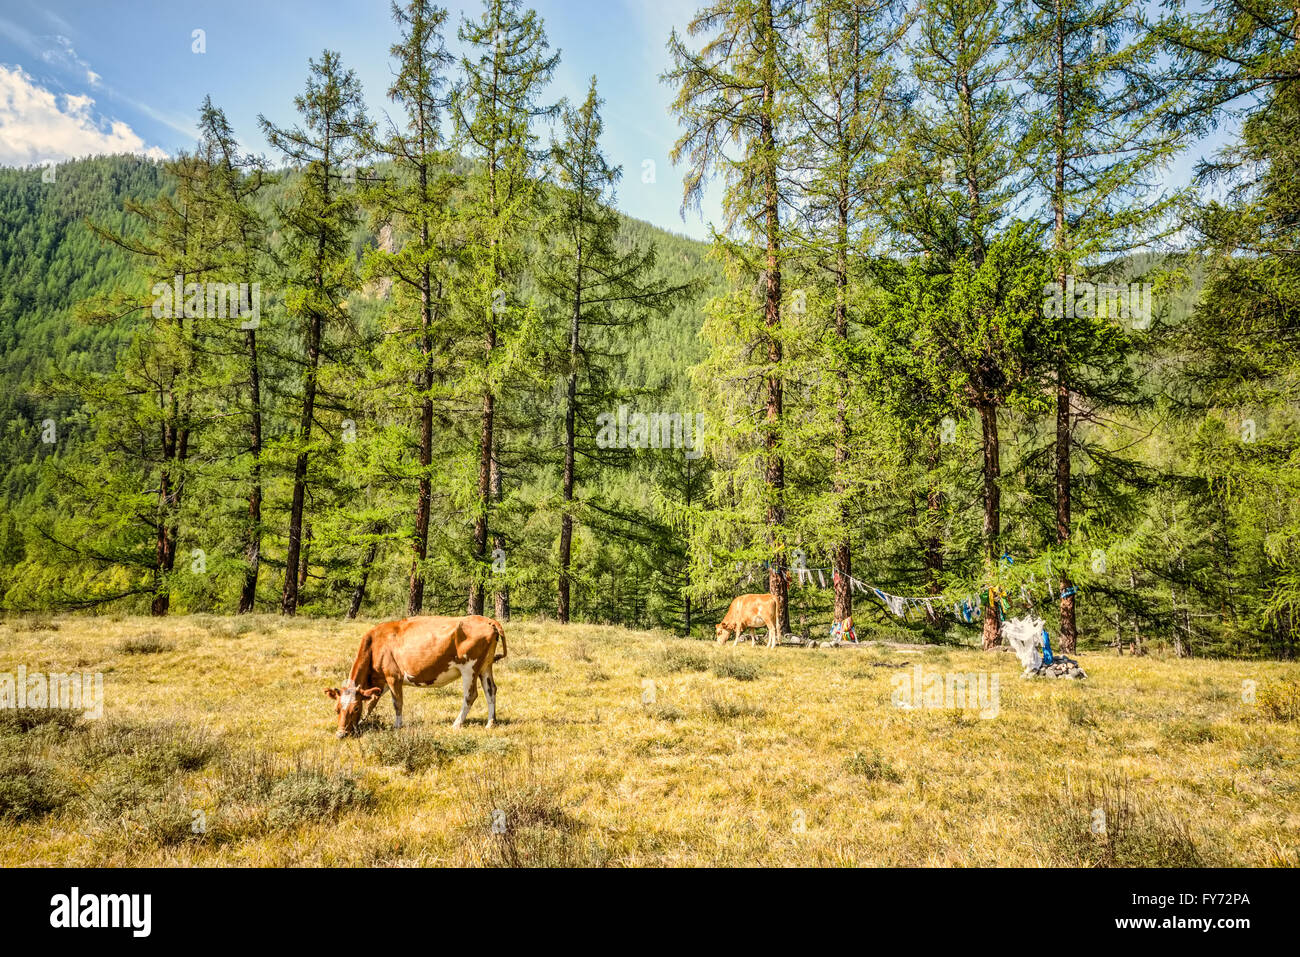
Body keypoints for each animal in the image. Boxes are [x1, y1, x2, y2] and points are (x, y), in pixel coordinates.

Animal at [325, 615, 506, 737]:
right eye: (336, 709)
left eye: (355, 708)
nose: (341, 734)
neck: (375, 644)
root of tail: (487, 620)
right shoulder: (381, 682)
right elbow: (371, 703)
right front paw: (363, 721)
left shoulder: (393, 677)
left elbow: (397, 703)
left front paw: (397, 725)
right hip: (485, 666)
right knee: (491, 691)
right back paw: (491, 722)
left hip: (469, 668)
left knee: (470, 695)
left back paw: (457, 723)